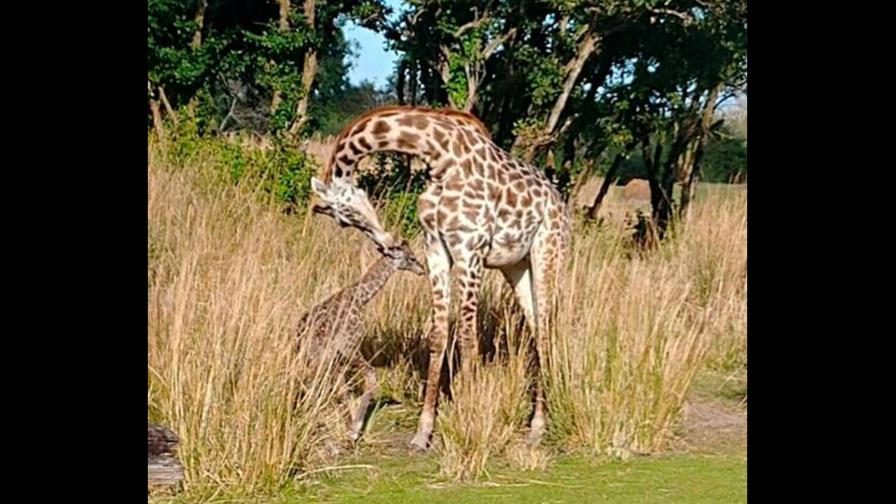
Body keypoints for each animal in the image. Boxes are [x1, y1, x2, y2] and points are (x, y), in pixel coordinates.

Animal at [296, 239, 425, 442]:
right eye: (411, 257)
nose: (422, 270)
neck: (362, 297)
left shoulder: (339, 355)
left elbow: (345, 389)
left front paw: (349, 425)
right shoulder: (350, 346)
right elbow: (370, 377)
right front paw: (355, 429)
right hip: (321, 358)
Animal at [310, 105, 571, 450]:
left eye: (343, 218)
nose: (385, 242)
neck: (439, 156)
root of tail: (561, 205)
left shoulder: (470, 249)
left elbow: (468, 339)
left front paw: (470, 421)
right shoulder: (435, 248)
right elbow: (438, 336)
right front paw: (423, 433)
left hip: (548, 252)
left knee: (545, 331)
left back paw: (538, 428)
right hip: (516, 266)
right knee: (537, 329)